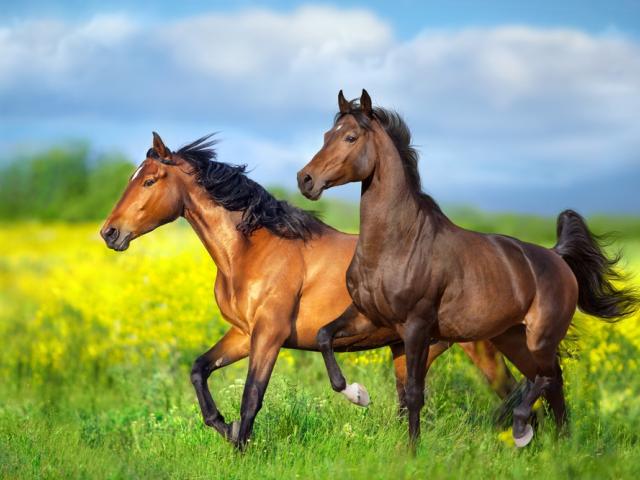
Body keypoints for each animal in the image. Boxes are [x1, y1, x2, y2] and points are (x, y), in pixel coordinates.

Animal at [100, 132, 518, 450]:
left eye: (149, 181)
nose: (109, 232)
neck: (252, 250)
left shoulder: (269, 335)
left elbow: (252, 396)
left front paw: (240, 450)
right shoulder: (243, 334)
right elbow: (199, 370)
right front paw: (226, 428)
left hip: (471, 345)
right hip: (414, 347)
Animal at [297, 89, 638, 449]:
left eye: (350, 137)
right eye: (326, 135)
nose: (305, 179)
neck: (398, 242)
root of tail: (557, 257)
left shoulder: (416, 327)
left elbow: (414, 394)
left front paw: (411, 451)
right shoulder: (367, 315)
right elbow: (324, 337)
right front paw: (357, 394)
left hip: (540, 338)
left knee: (548, 377)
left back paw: (524, 430)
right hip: (513, 338)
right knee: (550, 384)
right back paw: (558, 444)